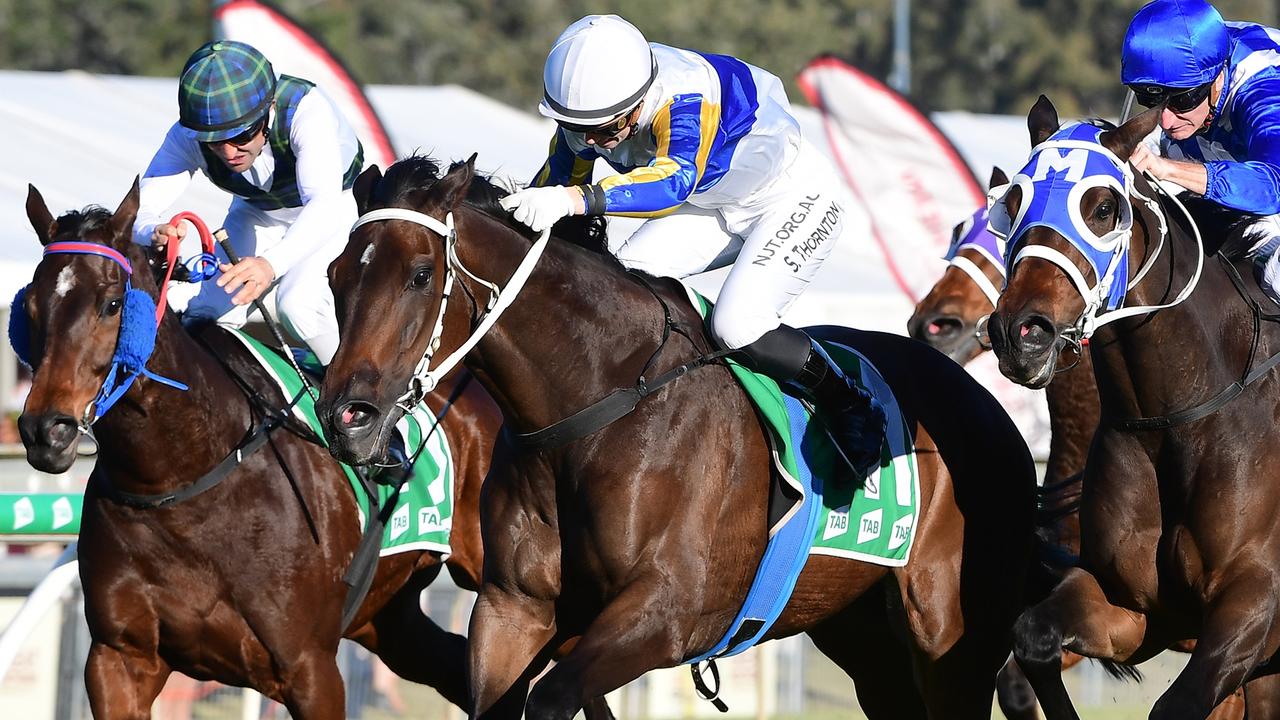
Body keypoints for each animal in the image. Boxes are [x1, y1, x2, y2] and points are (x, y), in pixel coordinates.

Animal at [17, 180, 501, 717]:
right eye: (31, 307)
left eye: (111, 305)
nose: (46, 429)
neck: (180, 476)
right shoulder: (118, 660)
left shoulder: (310, 669)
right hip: (388, 617)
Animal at [317, 154, 1039, 712]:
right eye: (334, 275)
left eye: (419, 275)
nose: (346, 416)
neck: (594, 402)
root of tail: (982, 402)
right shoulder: (512, 610)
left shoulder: (664, 614)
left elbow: (552, 698)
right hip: (864, 638)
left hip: (952, 639)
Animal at [988, 96, 1280, 717]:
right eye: (1014, 202)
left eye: (1103, 207)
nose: (1020, 332)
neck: (1176, 420)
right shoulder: (1137, 610)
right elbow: (1033, 640)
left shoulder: (1253, 606)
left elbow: (1177, 705)